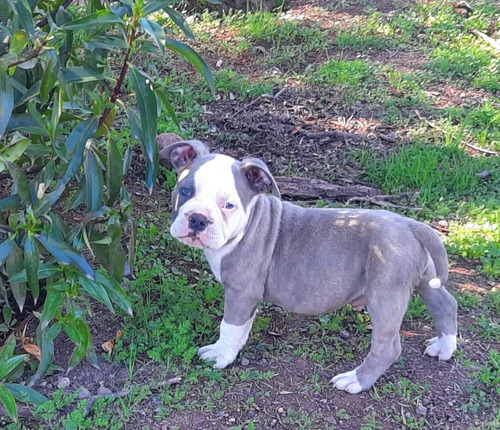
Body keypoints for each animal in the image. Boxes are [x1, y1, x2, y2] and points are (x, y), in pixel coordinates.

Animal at [160, 139, 458, 394]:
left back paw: (356, 380)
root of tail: (410, 224)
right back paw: (444, 347)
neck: (249, 223)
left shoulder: (241, 291)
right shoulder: (247, 296)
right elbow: (242, 326)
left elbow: (230, 325)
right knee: (446, 304)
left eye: (229, 205)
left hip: (386, 293)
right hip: (426, 279)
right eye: (185, 191)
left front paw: (220, 355)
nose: (198, 219)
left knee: (388, 346)